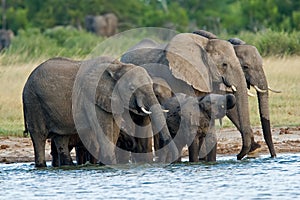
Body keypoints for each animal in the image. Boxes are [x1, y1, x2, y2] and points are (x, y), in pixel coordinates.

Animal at [24, 55, 178, 166]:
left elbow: (114, 130)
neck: (117, 67)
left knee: (61, 137)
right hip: (33, 102)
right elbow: (104, 129)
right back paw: (41, 166)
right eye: (131, 88)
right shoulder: (91, 98)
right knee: (39, 136)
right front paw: (108, 164)